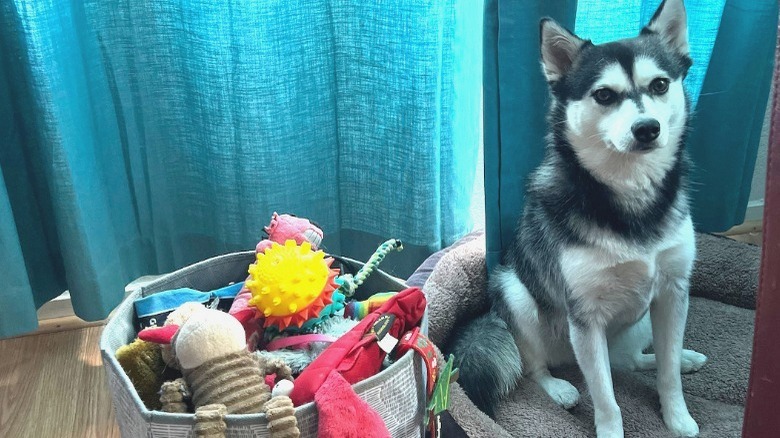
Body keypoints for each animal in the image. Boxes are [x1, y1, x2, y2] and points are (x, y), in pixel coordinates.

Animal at [444, 0, 708, 438]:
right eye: (604, 95)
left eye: (659, 85)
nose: (647, 128)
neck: (629, 194)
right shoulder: (586, 318)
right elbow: (606, 398)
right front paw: (611, 429)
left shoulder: (673, 293)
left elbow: (667, 374)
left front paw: (677, 415)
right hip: (517, 296)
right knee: (535, 367)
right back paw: (558, 388)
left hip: (640, 318)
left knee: (630, 360)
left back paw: (679, 358)